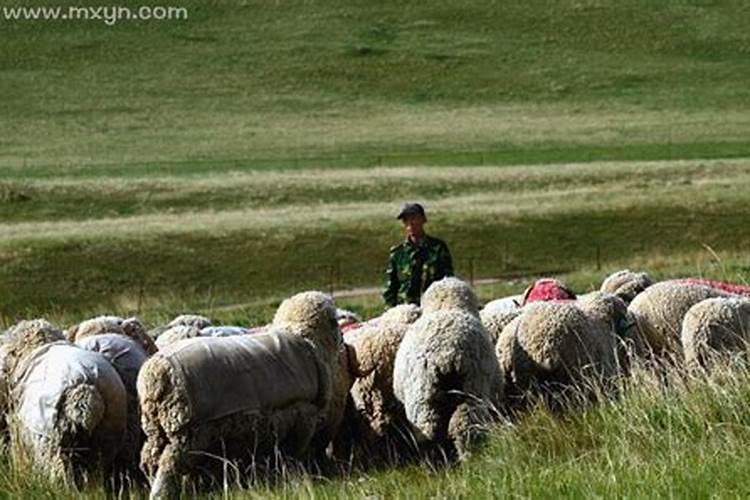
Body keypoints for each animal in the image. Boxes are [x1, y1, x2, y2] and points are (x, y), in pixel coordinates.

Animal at [139, 292, 362, 498]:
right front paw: (295, 473)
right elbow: (294, 451)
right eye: (336, 322)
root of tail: (155, 373)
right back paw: (161, 492)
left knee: (150, 458)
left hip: (157, 428)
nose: (344, 342)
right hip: (186, 431)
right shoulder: (303, 416)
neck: (306, 338)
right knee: (169, 463)